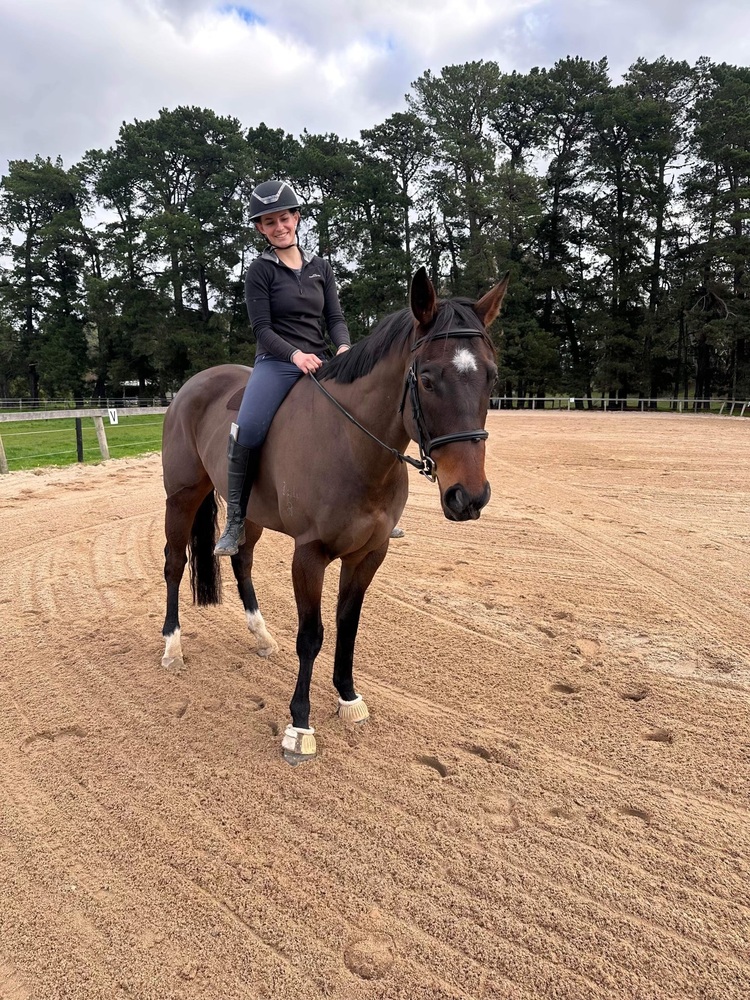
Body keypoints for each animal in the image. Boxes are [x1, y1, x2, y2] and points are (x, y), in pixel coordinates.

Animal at [160, 267, 508, 762]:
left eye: (491, 378)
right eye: (426, 379)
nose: (469, 497)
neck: (353, 446)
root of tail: (193, 385)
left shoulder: (369, 554)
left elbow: (348, 624)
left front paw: (347, 696)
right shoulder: (309, 555)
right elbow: (312, 635)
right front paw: (299, 726)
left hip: (250, 515)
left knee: (242, 559)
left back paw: (261, 636)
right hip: (182, 497)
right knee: (175, 563)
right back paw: (172, 647)